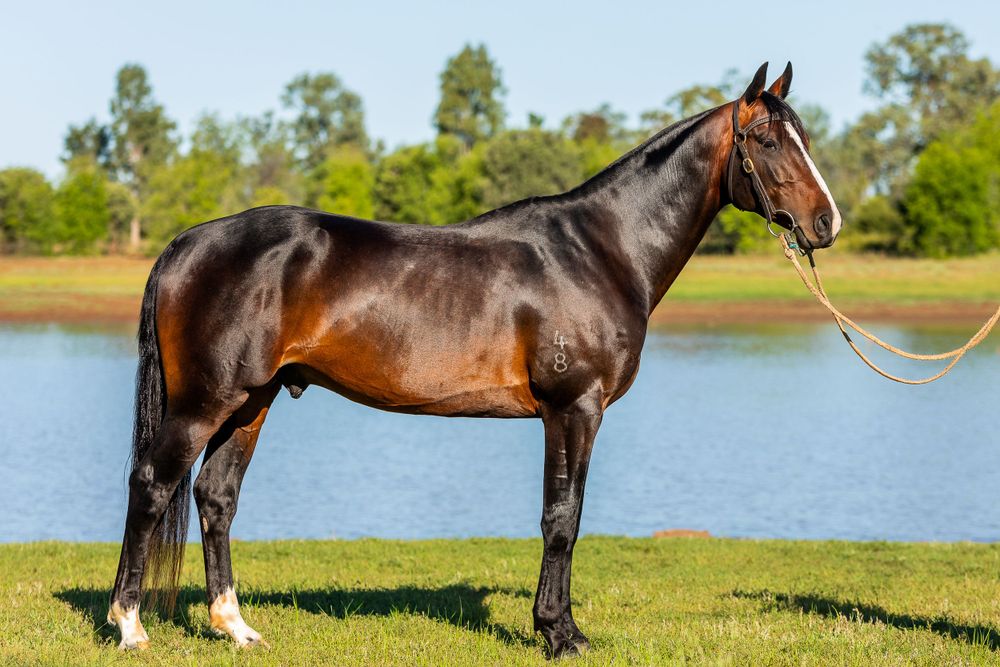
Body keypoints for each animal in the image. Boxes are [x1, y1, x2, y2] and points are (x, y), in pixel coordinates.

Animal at [108, 61, 841, 656]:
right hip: (206, 401)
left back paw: (235, 626)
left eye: (802, 137)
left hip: (251, 402)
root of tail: (187, 241)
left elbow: (562, 516)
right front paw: (559, 633)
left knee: (215, 495)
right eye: (768, 141)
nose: (827, 223)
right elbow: (562, 518)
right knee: (151, 484)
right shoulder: (573, 408)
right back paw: (130, 625)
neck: (600, 250)